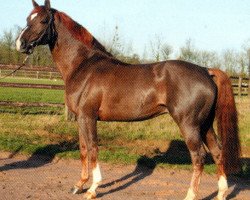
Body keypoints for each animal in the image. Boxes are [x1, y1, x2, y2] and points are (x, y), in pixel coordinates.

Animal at [15, 0, 240, 199]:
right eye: (27, 18)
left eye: (43, 20)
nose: (20, 43)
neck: (83, 66)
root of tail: (205, 70)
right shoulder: (80, 118)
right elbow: (84, 149)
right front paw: (79, 185)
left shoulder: (88, 117)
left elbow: (93, 148)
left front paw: (92, 189)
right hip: (205, 125)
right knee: (217, 153)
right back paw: (221, 193)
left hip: (189, 125)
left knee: (199, 157)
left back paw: (190, 195)